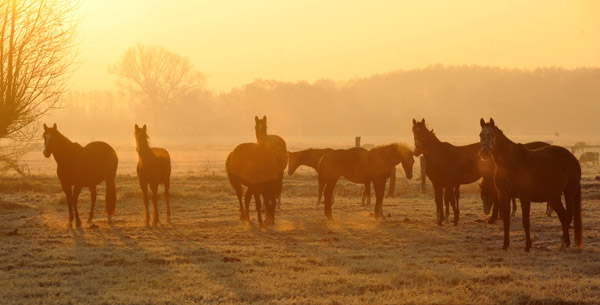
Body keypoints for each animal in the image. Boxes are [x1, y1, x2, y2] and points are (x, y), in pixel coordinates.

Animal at [478, 117, 580, 251]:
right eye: (480, 135)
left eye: (492, 135)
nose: (484, 153)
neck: (511, 163)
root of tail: (572, 158)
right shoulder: (504, 196)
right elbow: (506, 221)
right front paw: (505, 245)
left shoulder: (524, 197)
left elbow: (525, 222)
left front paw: (527, 246)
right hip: (554, 196)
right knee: (563, 216)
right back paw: (564, 243)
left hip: (569, 192)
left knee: (568, 215)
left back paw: (563, 243)